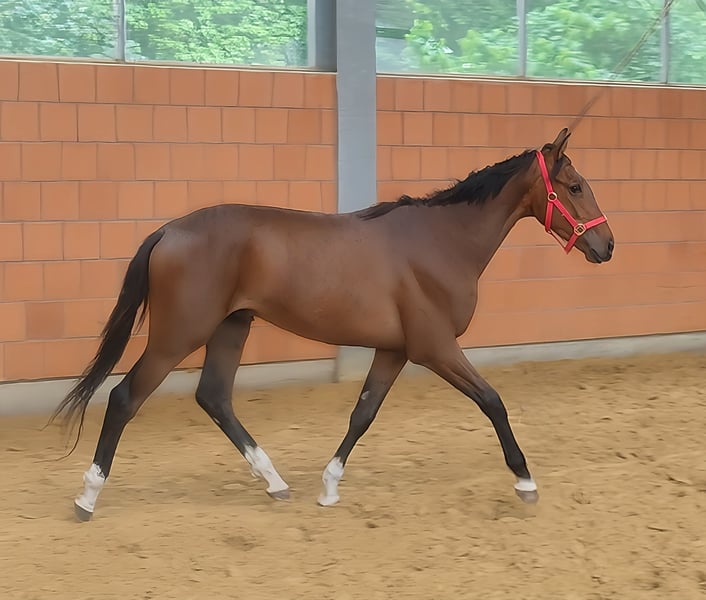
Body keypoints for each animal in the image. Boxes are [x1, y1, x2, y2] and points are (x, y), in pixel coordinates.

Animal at [49, 128, 614, 521]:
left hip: (231, 326)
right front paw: (525, 482)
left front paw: (329, 487)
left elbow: (362, 414)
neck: (441, 240)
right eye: (574, 186)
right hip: (178, 335)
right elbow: (493, 401)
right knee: (125, 398)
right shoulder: (435, 348)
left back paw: (275, 482)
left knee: (214, 397)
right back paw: (87, 497)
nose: (606, 245)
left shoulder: (395, 350)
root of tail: (168, 230)